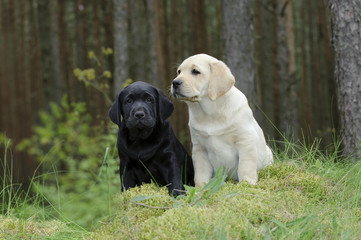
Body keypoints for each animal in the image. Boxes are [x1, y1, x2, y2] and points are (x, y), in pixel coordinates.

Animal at [170, 53, 272, 187]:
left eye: (195, 71)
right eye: (179, 71)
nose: (174, 82)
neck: (210, 112)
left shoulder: (245, 140)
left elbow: (245, 166)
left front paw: (247, 183)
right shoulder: (199, 147)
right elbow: (201, 172)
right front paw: (201, 187)